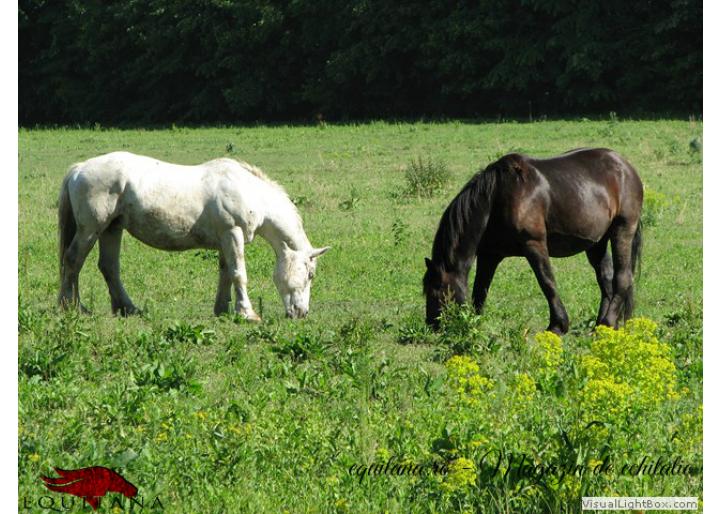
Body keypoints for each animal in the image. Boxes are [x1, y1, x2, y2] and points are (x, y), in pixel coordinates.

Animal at [58, 152, 330, 318]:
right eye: (310, 274)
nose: (301, 313)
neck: (249, 191)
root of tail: (79, 169)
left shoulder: (225, 240)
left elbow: (226, 274)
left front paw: (223, 310)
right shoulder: (233, 233)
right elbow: (239, 274)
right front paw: (247, 313)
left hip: (111, 228)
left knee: (108, 267)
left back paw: (127, 308)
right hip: (91, 229)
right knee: (72, 261)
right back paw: (72, 307)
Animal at [422, 148, 640, 332]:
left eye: (436, 291)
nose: (432, 325)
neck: (496, 198)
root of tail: (626, 167)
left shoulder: (534, 244)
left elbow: (547, 283)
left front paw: (558, 325)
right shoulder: (489, 255)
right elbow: (480, 289)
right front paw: (474, 323)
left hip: (622, 229)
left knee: (623, 277)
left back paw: (608, 322)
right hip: (596, 242)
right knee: (606, 279)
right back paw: (600, 326)